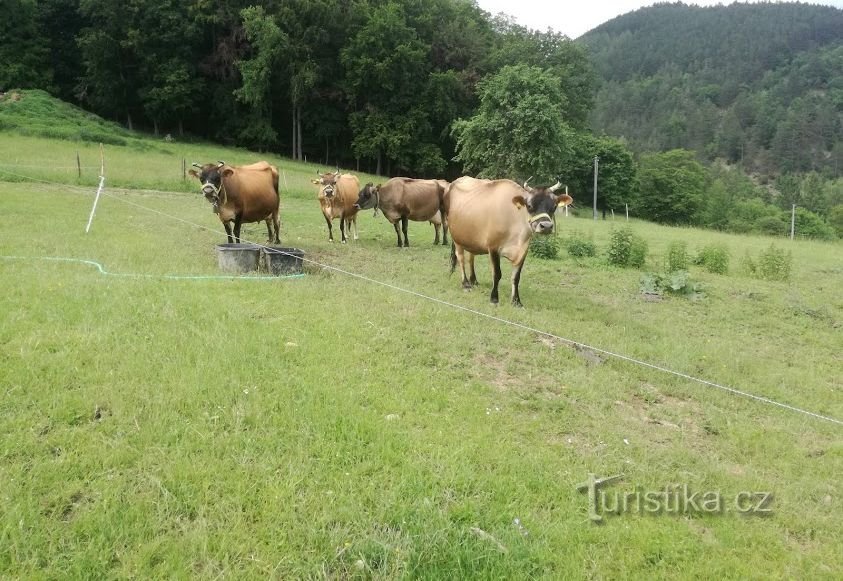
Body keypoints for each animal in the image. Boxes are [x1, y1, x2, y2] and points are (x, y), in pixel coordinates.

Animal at [442, 176, 572, 306]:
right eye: (529, 205)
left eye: (554, 206)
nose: (546, 226)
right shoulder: (493, 247)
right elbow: (497, 274)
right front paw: (494, 298)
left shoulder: (523, 250)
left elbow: (516, 277)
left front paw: (516, 301)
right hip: (456, 237)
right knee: (461, 258)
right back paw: (465, 284)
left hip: (470, 238)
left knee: (471, 257)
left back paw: (473, 280)